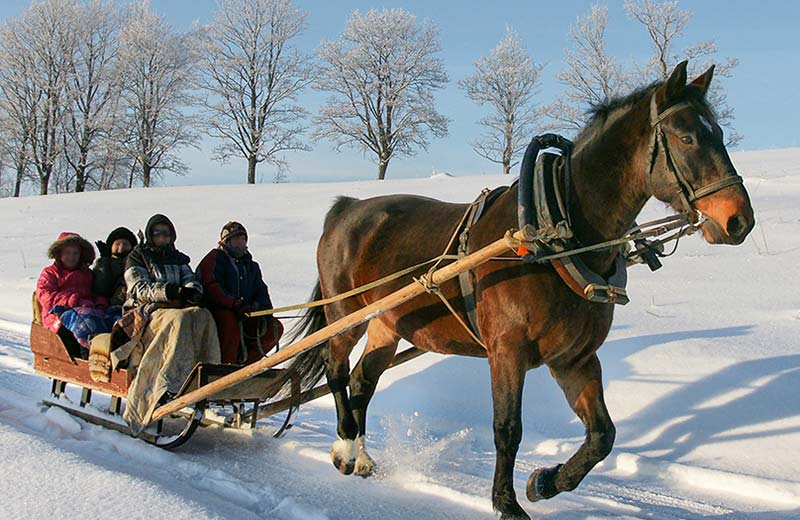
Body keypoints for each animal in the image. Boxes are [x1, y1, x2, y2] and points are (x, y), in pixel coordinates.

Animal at [289, 61, 754, 519]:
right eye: (687, 137)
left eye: (719, 133)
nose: (739, 220)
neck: (555, 236)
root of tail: (348, 207)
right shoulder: (507, 352)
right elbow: (508, 429)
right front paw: (506, 503)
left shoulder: (574, 358)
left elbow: (602, 435)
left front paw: (546, 482)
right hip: (344, 314)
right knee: (336, 370)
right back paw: (345, 447)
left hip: (389, 322)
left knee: (363, 380)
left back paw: (360, 457)